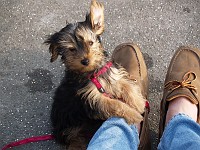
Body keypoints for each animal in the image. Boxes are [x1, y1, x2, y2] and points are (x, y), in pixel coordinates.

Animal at [45, 0, 145, 149]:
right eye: (72, 49)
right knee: (76, 141)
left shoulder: (112, 75)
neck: (93, 73)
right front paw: (133, 114)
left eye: (90, 43)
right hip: (71, 128)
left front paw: (139, 103)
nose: (85, 60)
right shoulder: (92, 98)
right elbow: (115, 104)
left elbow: (127, 86)